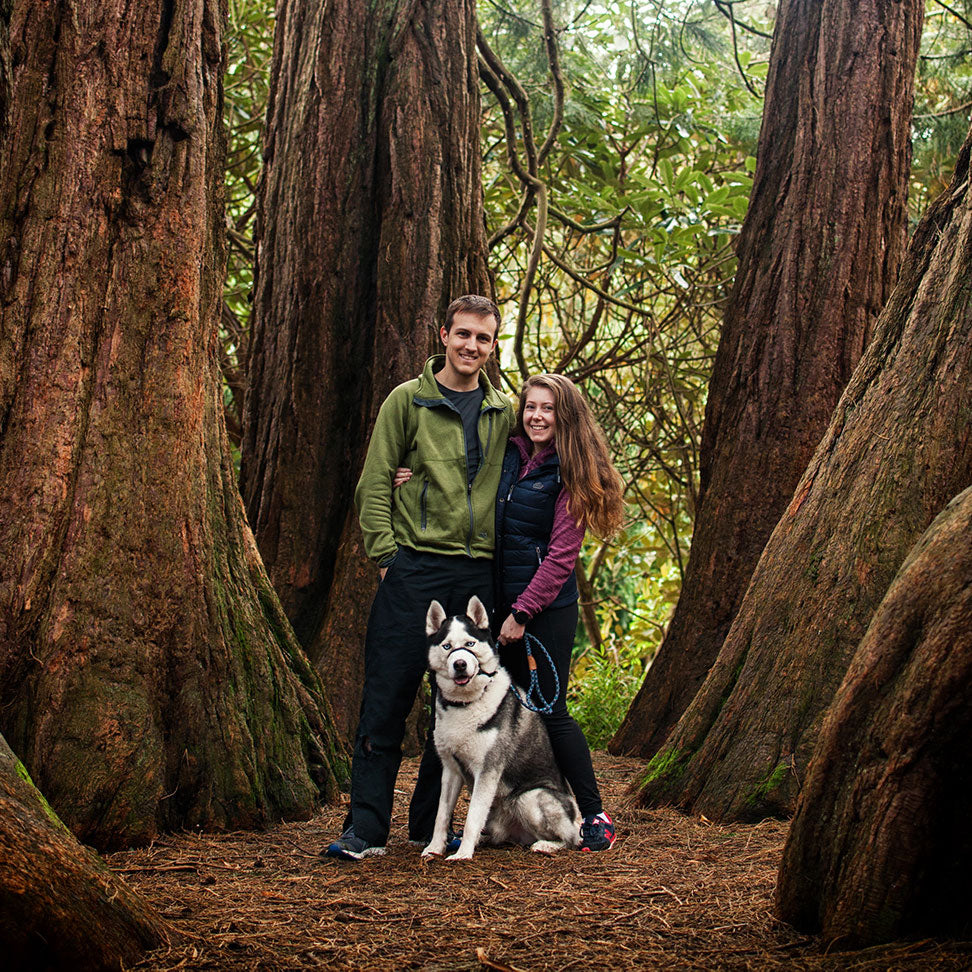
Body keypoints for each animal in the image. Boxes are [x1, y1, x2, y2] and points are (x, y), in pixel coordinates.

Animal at [422, 592, 580, 860]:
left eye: (470, 644)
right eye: (447, 646)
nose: (460, 664)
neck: (466, 704)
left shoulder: (488, 771)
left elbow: (471, 818)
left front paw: (463, 854)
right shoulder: (451, 769)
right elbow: (441, 815)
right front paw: (435, 847)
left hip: (531, 797)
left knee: (569, 838)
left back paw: (548, 844)